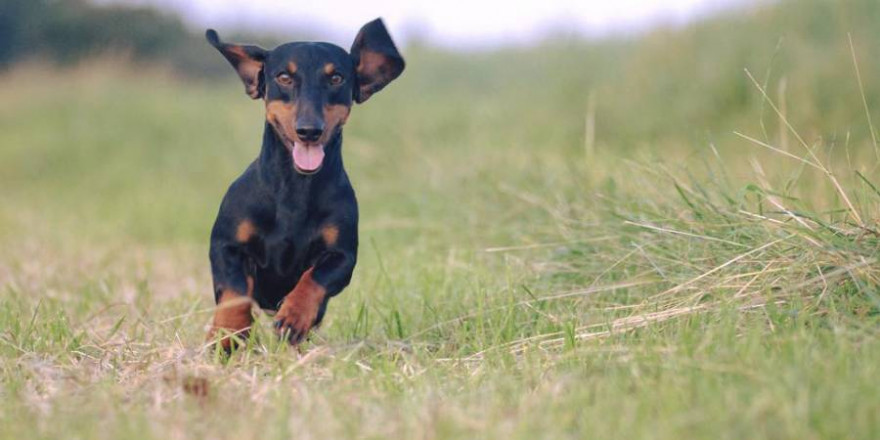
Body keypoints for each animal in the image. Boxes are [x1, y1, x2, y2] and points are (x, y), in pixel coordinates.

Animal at [205, 18, 404, 350]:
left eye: (336, 77)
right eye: (284, 77)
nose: (309, 131)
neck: (295, 189)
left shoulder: (342, 256)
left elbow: (314, 278)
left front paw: (294, 316)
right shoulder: (226, 245)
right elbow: (235, 293)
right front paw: (227, 334)